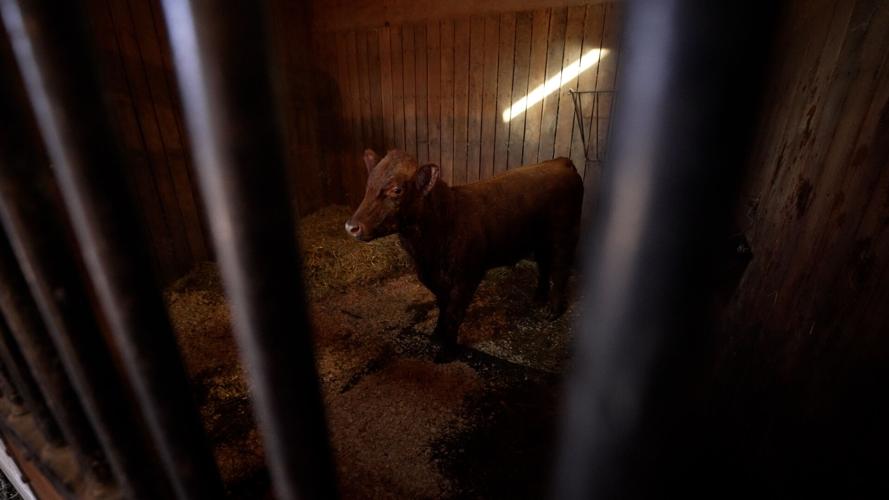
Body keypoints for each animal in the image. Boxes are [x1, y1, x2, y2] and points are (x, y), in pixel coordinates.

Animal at [346, 149, 583, 361]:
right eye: (368, 185)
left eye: (397, 190)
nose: (351, 226)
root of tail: (560, 161)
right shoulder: (435, 278)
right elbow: (443, 306)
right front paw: (436, 334)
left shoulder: (467, 277)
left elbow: (453, 313)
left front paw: (447, 351)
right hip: (539, 239)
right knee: (544, 264)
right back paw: (539, 297)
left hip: (564, 234)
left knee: (560, 270)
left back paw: (552, 310)